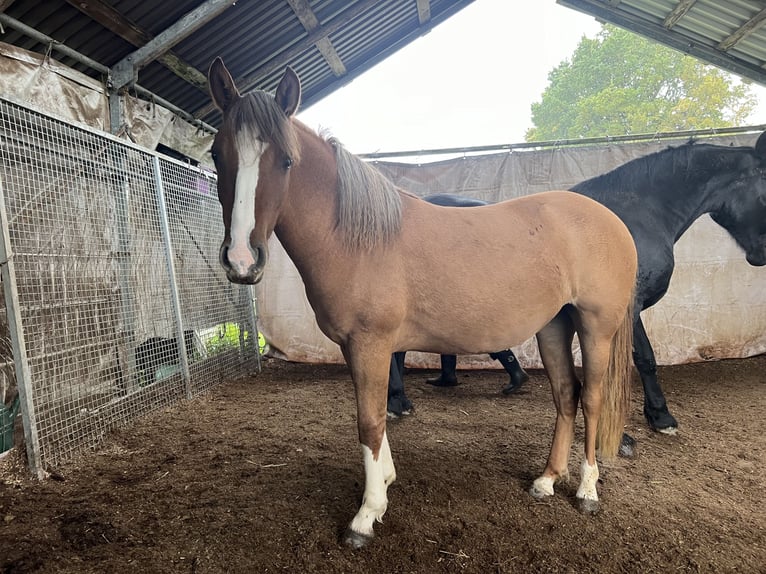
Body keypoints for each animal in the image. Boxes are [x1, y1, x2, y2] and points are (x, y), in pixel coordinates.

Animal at [210, 58, 640, 548]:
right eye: (217, 154)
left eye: (286, 160)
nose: (241, 259)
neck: (360, 239)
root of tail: (611, 220)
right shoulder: (358, 347)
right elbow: (376, 414)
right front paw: (386, 483)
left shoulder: (371, 344)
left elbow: (370, 420)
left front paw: (366, 515)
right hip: (553, 325)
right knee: (565, 395)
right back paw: (547, 480)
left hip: (595, 327)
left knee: (591, 398)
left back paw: (587, 489)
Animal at [390, 134, 766, 450]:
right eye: (765, 192)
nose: (760, 255)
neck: (634, 216)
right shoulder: (626, 308)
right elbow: (642, 359)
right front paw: (651, 421)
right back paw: (398, 401)